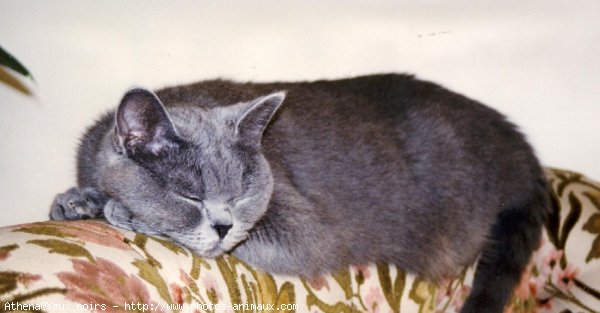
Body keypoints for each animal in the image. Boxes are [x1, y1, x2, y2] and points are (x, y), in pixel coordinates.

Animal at [50, 73, 548, 310]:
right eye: (190, 196)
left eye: (242, 193)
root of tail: (516, 142)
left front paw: (117, 209)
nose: (224, 225)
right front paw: (76, 200)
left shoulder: (307, 232)